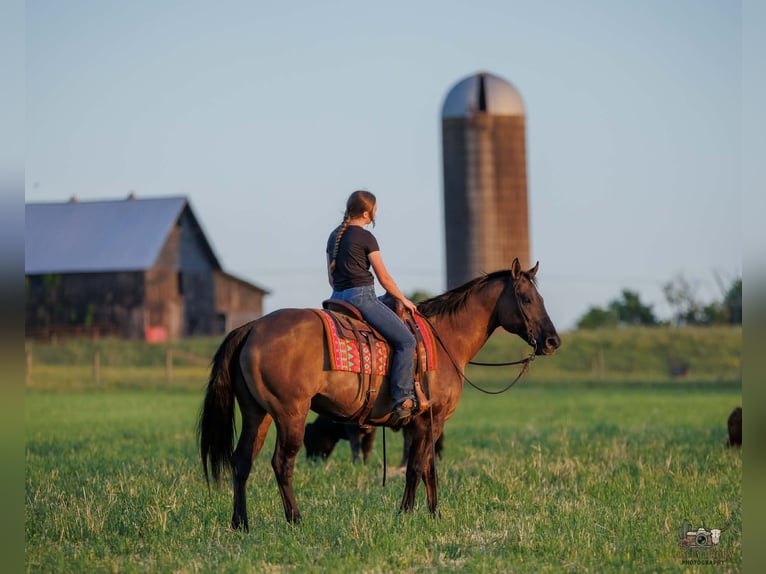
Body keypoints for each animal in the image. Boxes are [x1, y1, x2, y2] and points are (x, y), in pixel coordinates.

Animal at [198, 258, 560, 528]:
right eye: (526, 299)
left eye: (542, 299)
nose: (552, 341)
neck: (445, 339)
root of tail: (253, 327)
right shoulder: (430, 420)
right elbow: (416, 467)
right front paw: (406, 514)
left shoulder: (425, 423)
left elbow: (427, 468)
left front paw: (434, 515)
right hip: (290, 416)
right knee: (281, 464)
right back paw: (295, 520)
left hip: (256, 415)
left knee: (242, 461)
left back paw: (240, 523)